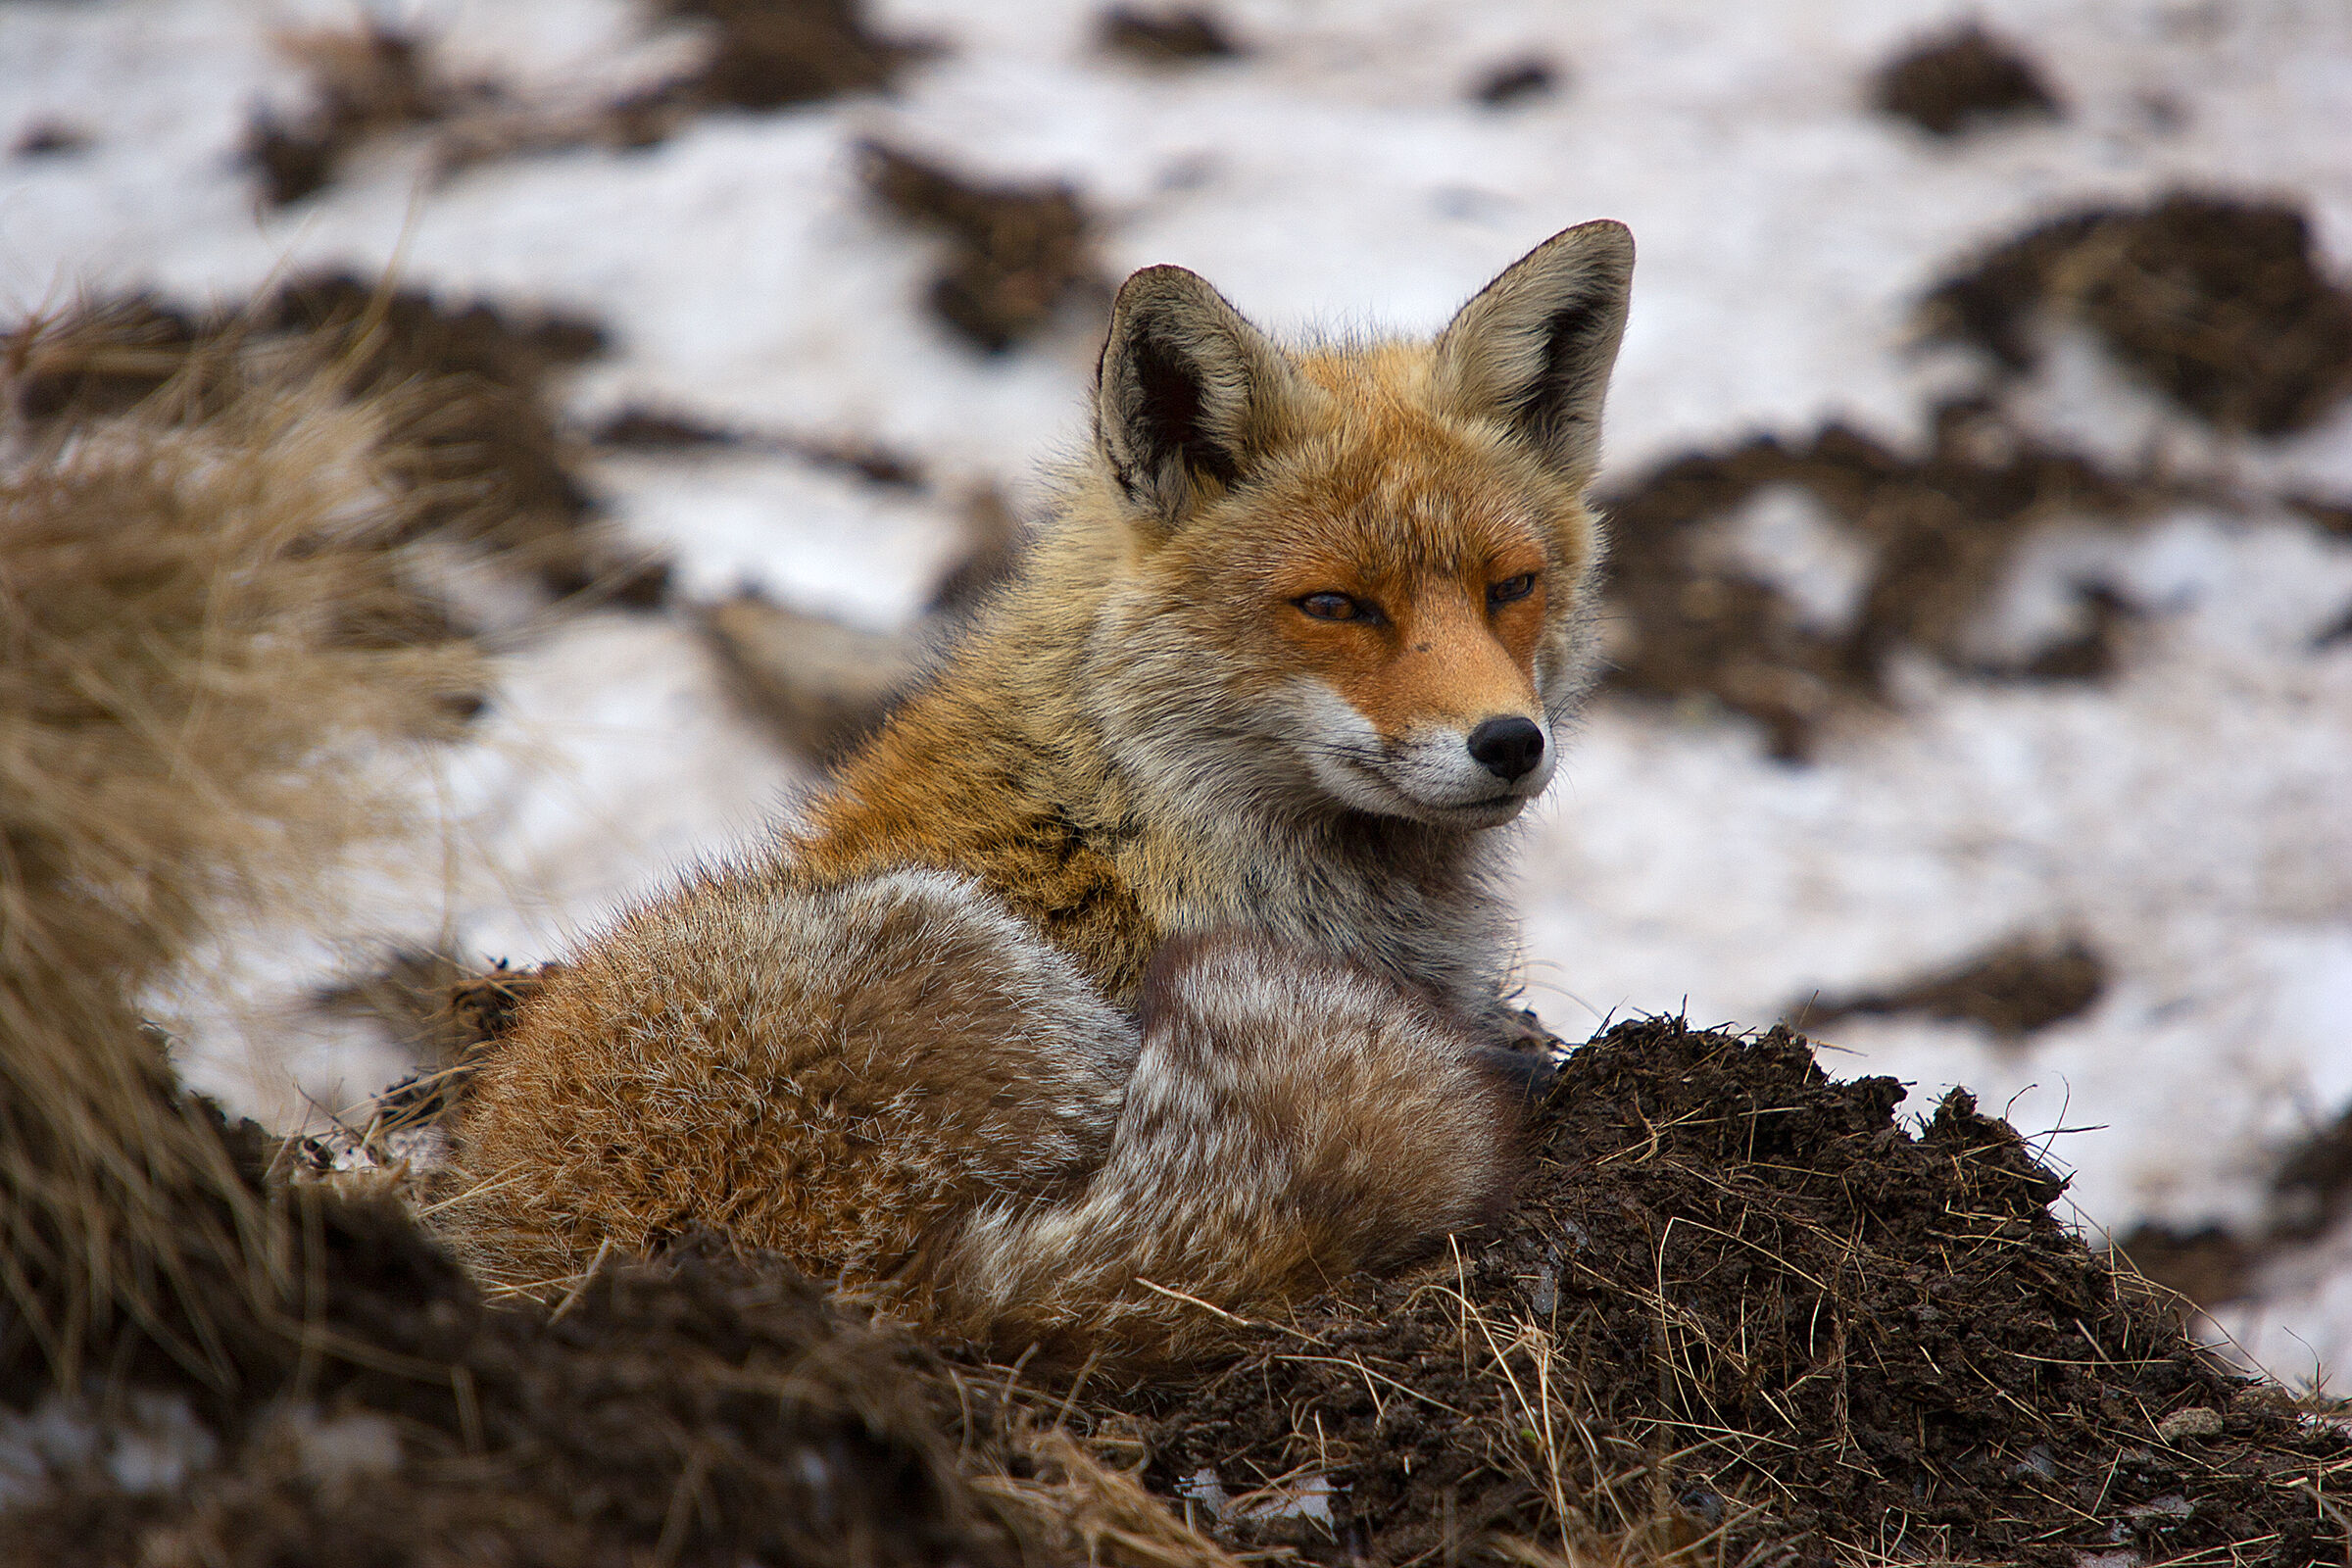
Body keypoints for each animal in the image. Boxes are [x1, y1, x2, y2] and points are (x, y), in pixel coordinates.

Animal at [434, 220, 1636, 1367]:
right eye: (1335, 605)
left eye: (1511, 587)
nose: (1509, 743)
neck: (1147, 813)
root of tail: (884, 1283)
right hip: (966, 954)